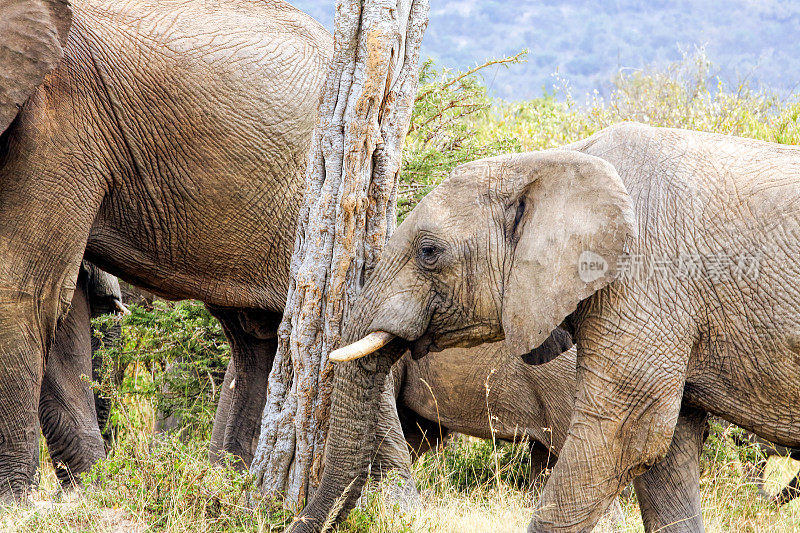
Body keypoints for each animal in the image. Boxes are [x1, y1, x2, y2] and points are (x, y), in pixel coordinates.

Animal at [0, 0, 332, 498]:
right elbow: (56, 313)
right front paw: (89, 492)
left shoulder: (57, 123)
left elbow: (23, 292)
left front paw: (17, 503)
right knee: (255, 337)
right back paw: (229, 486)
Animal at [296, 122, 800, 528]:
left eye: (428, 252)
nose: (294, 524)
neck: (556, 162)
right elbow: (667, 459)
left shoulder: (647, 283)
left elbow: (626, 440)